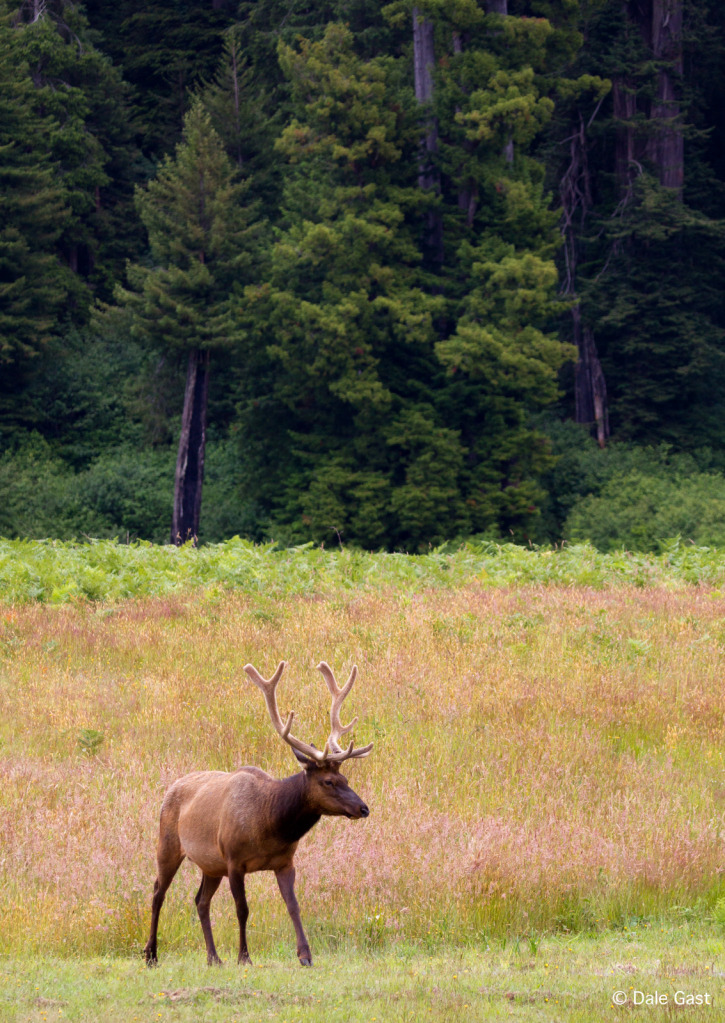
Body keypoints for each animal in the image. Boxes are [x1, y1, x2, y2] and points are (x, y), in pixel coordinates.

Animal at [145, 662, 376, 965]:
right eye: (328, 781)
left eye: (346, 778)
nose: (363, 808)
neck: (270, 827)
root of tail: (170, 788)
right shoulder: (233, 860)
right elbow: (242, 909)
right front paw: (244, 956)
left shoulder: (285, 862)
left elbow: (293, 905)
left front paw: (305, 955)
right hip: (168, 844)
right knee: (157, 892)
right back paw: (151, 954)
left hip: (210, 864)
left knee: (201, 901)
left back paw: (213, 957)